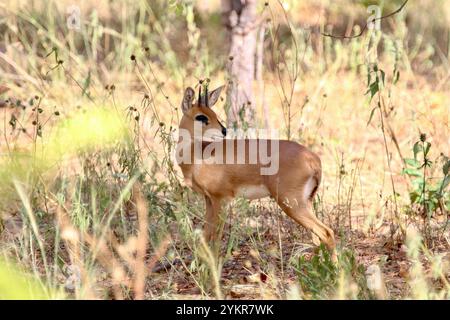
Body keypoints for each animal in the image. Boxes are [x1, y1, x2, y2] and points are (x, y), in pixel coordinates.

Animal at [178, 84, 336, 260]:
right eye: (201, 116)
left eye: (213, 114)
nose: (224, 131)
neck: (197, 155)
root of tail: (313, 159)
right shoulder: (209, 199)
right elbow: (206, 235)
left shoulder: (221, 199)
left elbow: (216, 237)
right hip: (305, 202)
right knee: (318, 237)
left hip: (291, 203)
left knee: (327, 232)